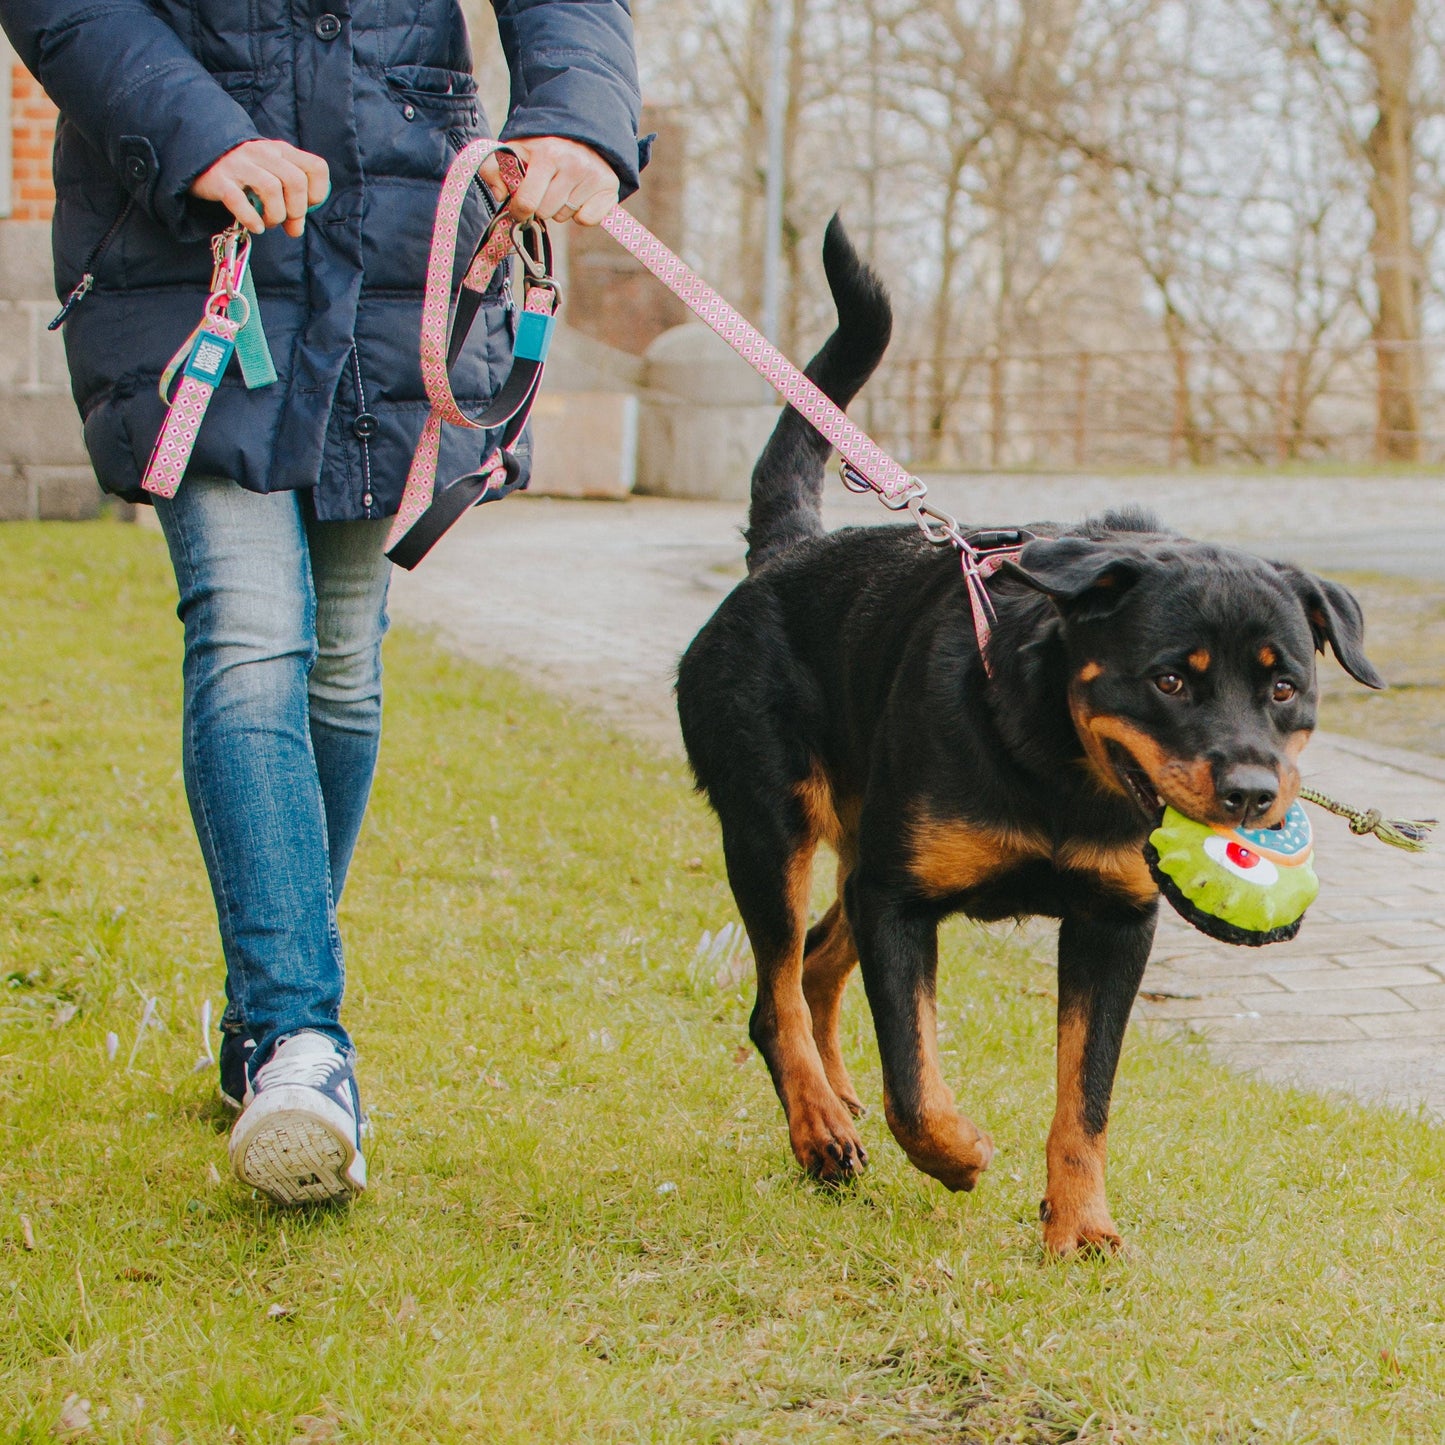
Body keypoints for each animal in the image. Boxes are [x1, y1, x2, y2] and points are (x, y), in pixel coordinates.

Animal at [670, 216, 1381, 1254]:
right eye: (1169, 678)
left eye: (1284, 686)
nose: (1252, 791)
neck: (1059, 768)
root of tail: (783, 556)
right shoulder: (902, 899)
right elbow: (914, 1074)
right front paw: (955, 1149)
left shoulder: (1112, 921)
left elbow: (1085, 1093)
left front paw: (1079, 1227)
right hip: (771, 827)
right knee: (778, 993)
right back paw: (820, 1128)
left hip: (857, 847)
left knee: (817, 962)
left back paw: (836, 1102)